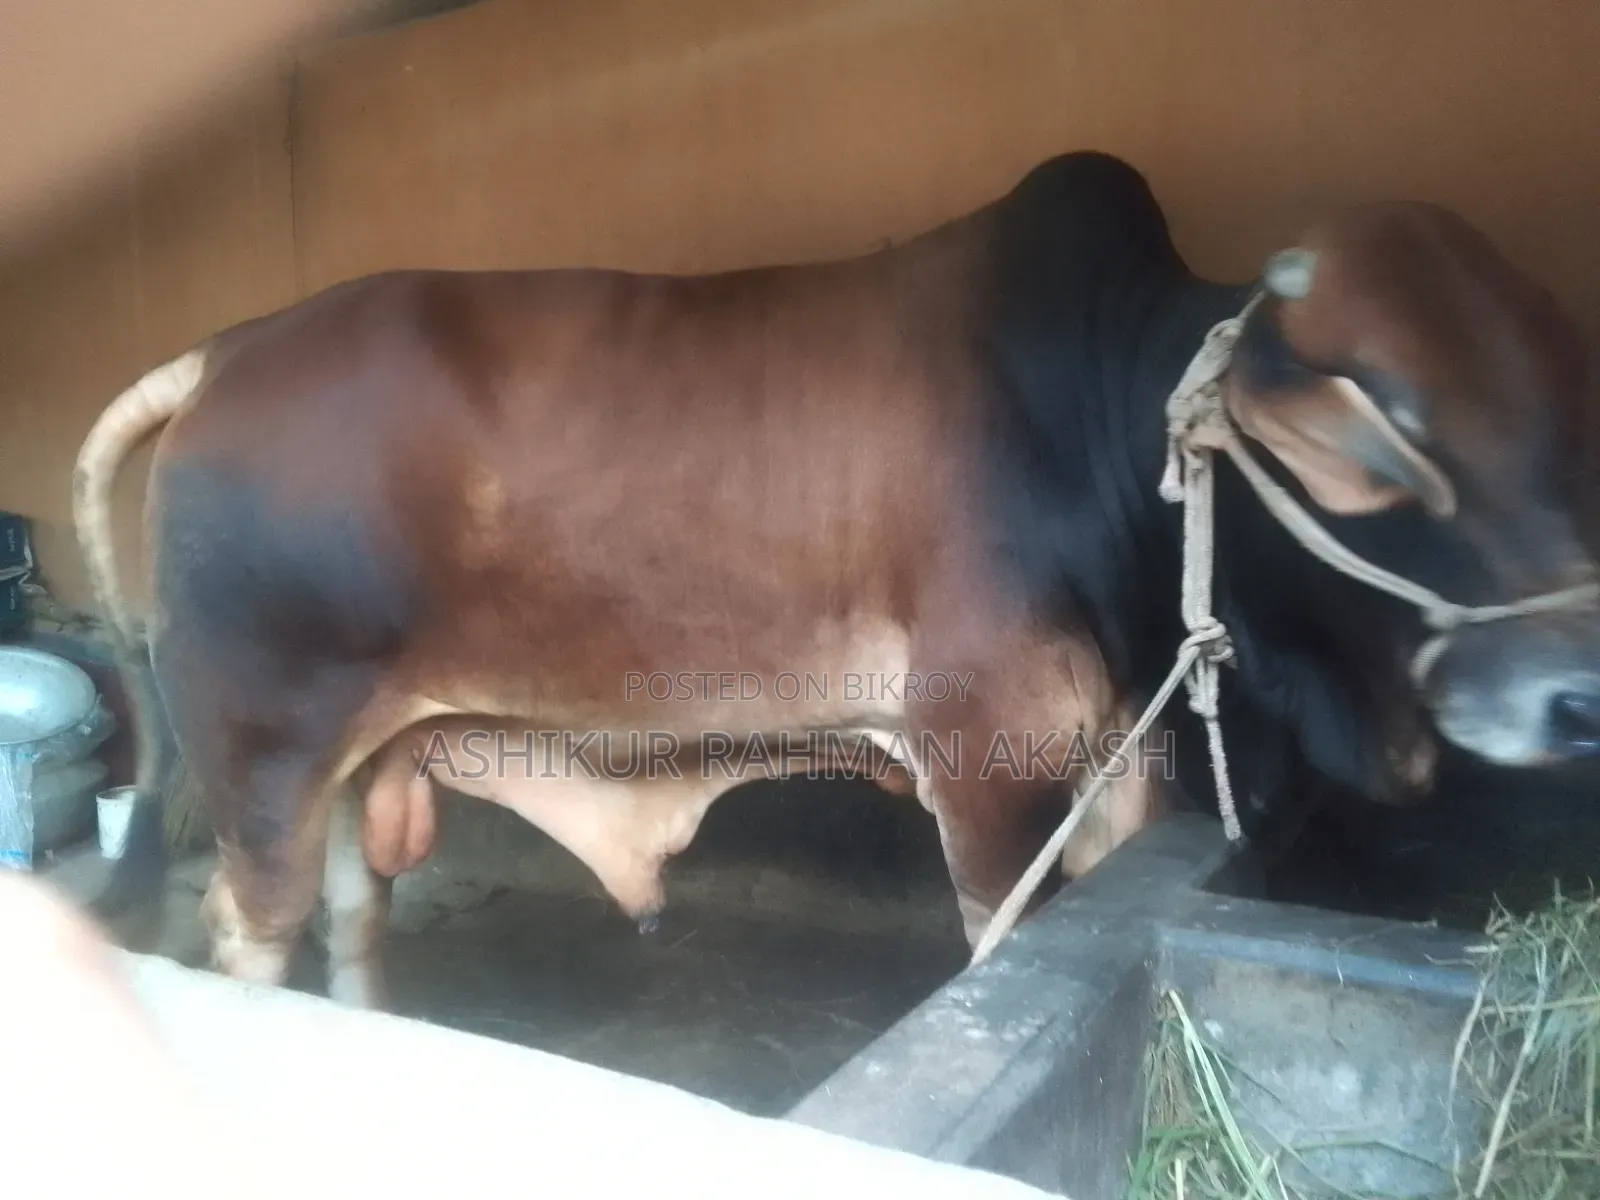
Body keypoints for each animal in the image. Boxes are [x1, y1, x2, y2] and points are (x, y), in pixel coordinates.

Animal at [74, 149, 1600, 1008]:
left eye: (1561, 400)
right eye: (1386, 440)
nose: (1572, 693)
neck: (1089, 417)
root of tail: (226, 351)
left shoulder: (1116, 757)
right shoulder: (983, 768)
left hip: (349, 759)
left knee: (349, 922)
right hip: (261, 756)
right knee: (249, 932)